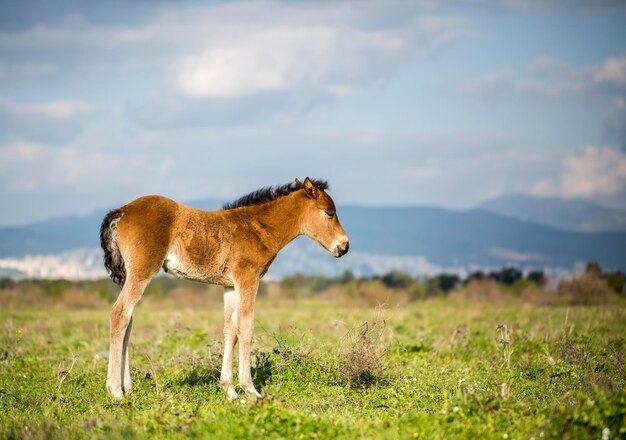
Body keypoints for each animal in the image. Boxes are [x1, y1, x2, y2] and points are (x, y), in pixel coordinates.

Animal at [100, 177, 348, 400]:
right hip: (142, 272)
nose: (344, 246)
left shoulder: (229, 286)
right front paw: (250, 389)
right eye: (329, 213)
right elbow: (246, 328)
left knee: (128, 320)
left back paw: (128, 388)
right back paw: (115, 391)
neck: (257, 228)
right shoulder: (248, 278)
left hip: (128, 275)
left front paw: (229, 390)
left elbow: (231, 329)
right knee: (119, 314)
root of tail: (122, 211)